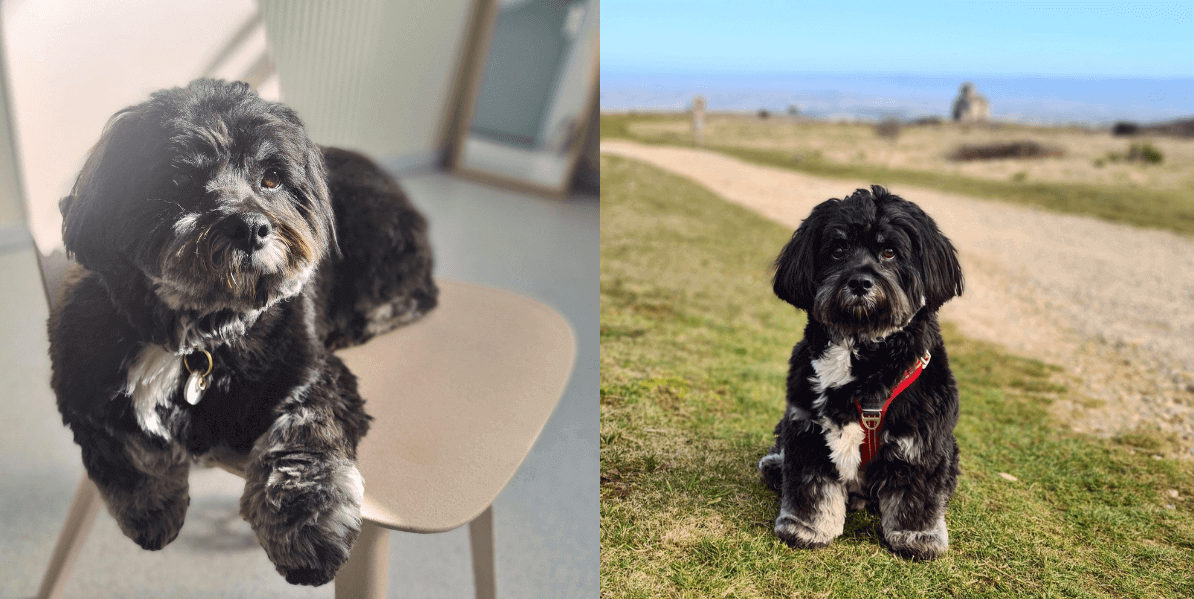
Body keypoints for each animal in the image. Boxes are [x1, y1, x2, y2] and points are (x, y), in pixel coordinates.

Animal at [48, 79, 439, 584]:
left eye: (271, 178)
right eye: (180, 178)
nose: (251, 226)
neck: (196, 332)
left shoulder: (314, 376)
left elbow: (302, 440)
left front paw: (304, 533)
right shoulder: (80, 382)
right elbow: (128, 449)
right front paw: (153, 512)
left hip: (381, 249)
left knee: (421, 293)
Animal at [759, 184, 964, 558]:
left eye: (889, 252)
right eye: (838, 250)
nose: (859, 281)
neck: (863, 353)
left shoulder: (921, 438)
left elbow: (918, 492)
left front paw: (918, 535)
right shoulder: (808, 428)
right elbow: (811, 486)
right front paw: (805, 526)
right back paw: (775, 465)